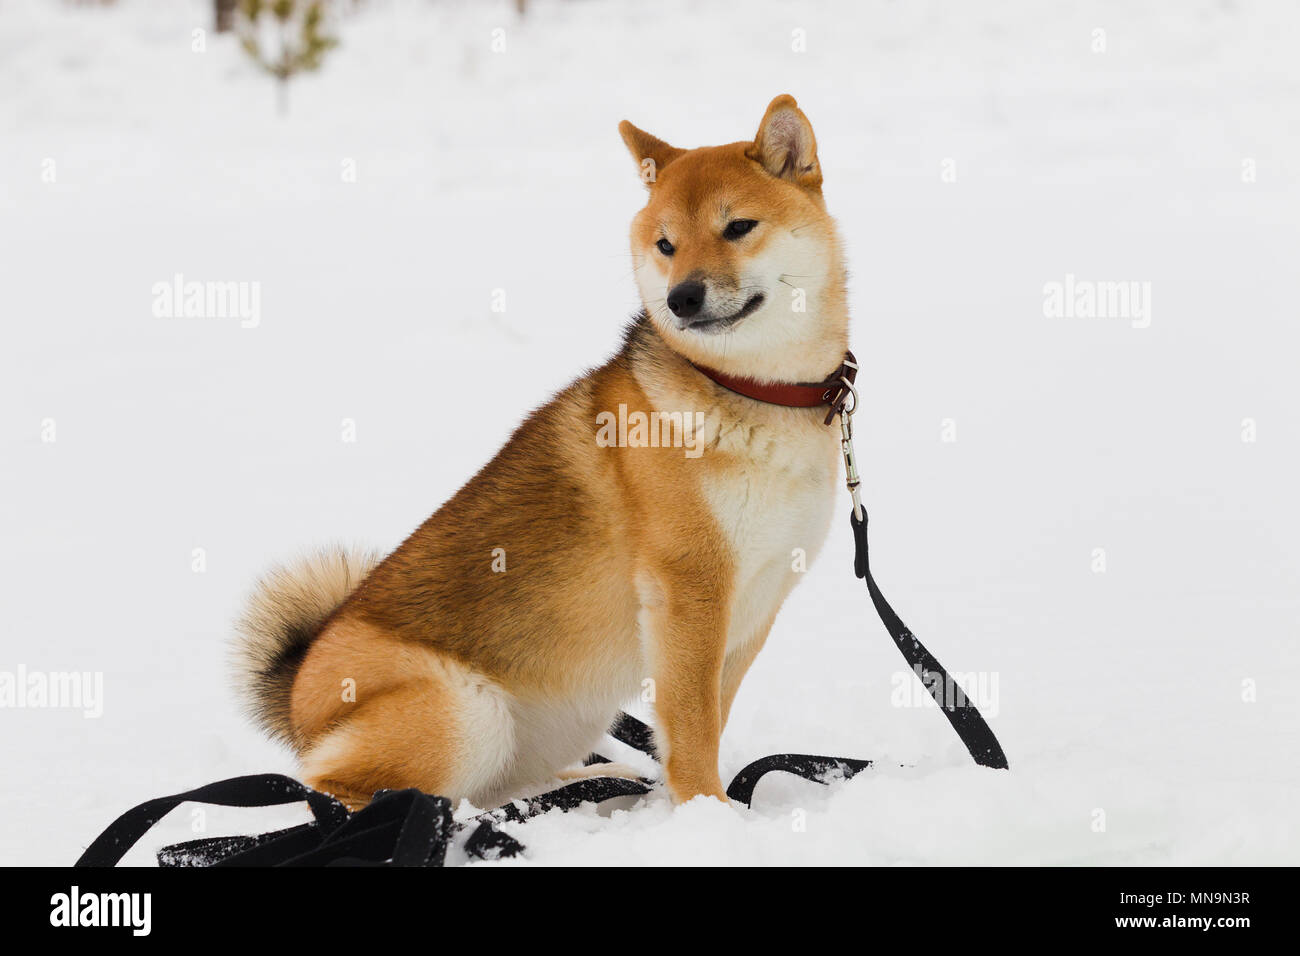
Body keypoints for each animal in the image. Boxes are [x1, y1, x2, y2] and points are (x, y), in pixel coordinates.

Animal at [233, 95, 852, 806]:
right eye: (666, 244)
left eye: (739, 227)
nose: (681, 297)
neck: (754, 391)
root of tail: (300, 692)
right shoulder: (688, 591)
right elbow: (693, 726)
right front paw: (711, 813)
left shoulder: (756, 600)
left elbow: (703, 723)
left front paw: (687, 802)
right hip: (467, 710)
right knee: (340, 792)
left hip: (559, 719)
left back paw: (593, 786)